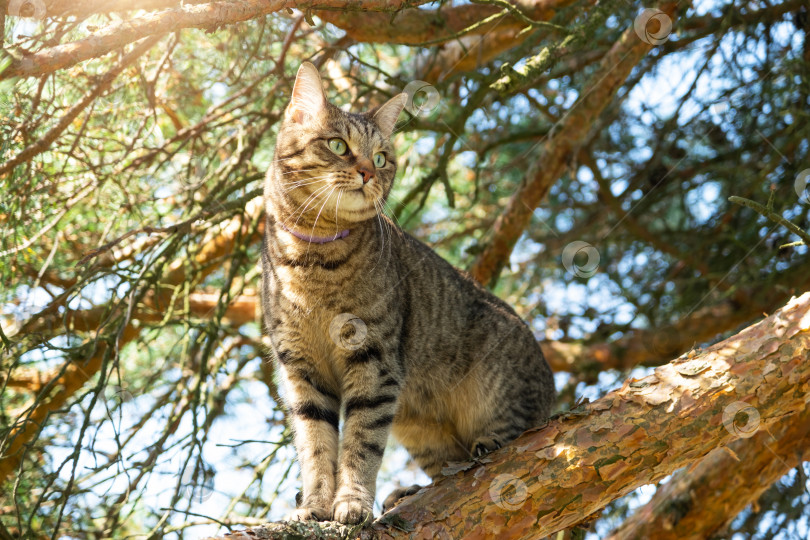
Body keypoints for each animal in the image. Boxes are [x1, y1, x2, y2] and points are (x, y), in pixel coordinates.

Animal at [262, 62, 552, 524]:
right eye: (338, 145)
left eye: (381, 158)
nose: (367, 172)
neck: (314, 258)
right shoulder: (300, 369)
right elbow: (315, 444)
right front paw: (316, 504)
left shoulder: (374, 359)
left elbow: (361, 442)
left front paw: (352, 502)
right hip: (417, 426)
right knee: (448, 462)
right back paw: (412, 491)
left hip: (497, 382)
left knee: (516, 432)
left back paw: (488, 445)